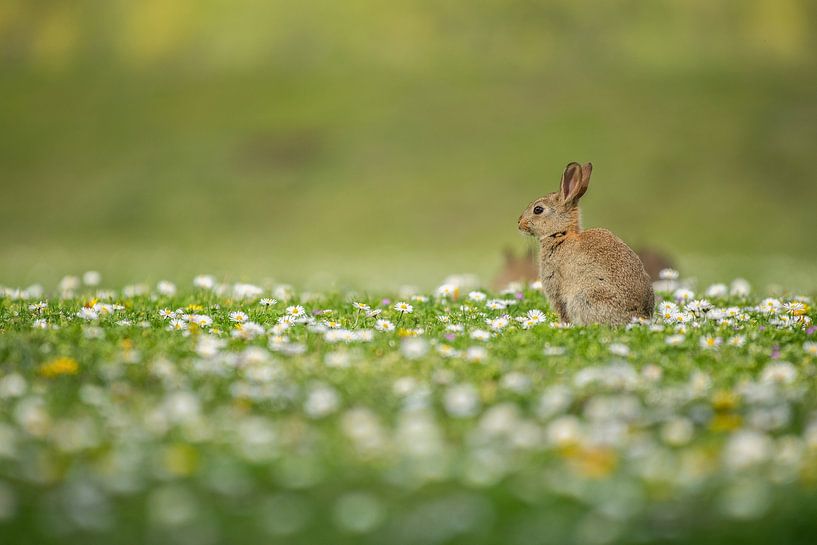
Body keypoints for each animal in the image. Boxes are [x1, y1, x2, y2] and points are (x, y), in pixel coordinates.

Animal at [517, 162, 654, 325]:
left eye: (538, 209)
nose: (519, 223)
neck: (561, 233)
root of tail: (639, 316)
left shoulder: (556, 287)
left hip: (584, 297)